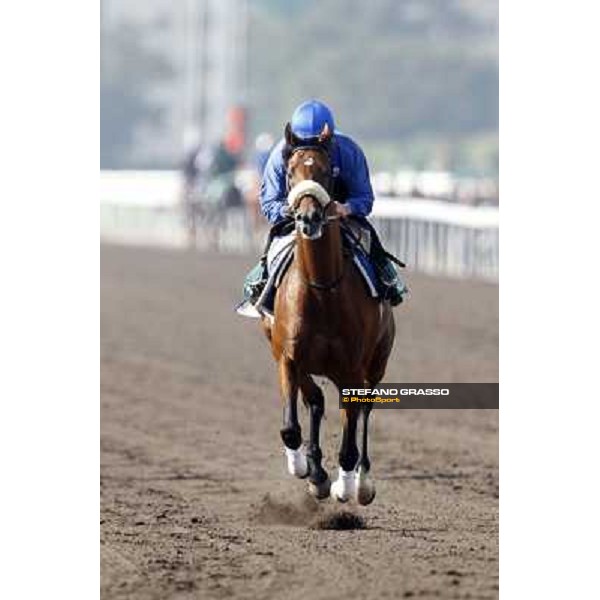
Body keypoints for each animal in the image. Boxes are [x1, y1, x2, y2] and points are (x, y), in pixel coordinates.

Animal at [262, 120, 394, 502]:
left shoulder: (352, 369)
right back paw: (316, 470)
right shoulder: (288, 357)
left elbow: (350, 437)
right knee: (316, 400)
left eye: (325, 170)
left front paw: (346, 485)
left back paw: (361, 481)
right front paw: (306, 469)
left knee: (364, 408)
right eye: (290, 171)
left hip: (376, 361)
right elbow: (291, 427)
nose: (308, 217)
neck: (322, 290)